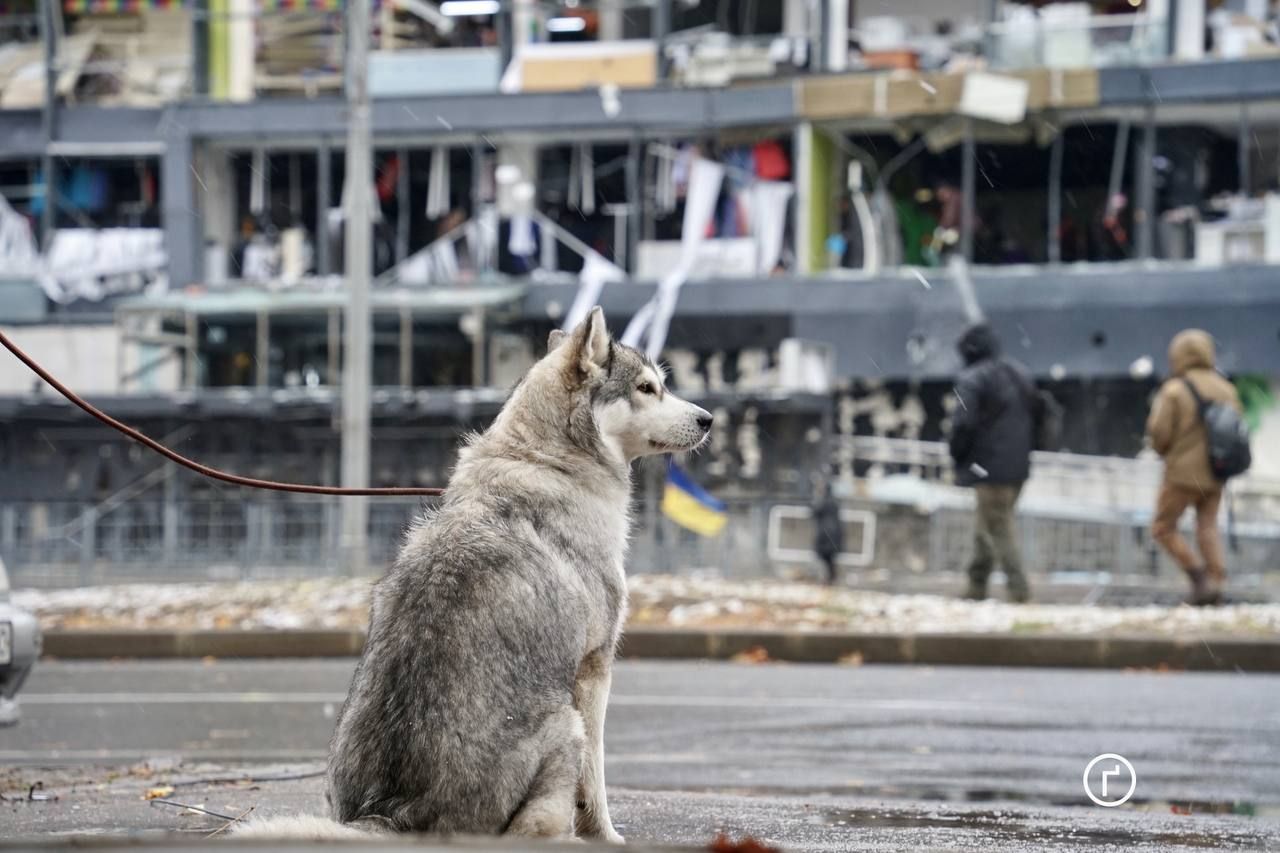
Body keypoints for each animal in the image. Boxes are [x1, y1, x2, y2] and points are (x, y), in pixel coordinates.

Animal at [240, 306, 711, 835]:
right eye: (648, 388)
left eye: (662, 385)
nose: (709, 419)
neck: (548, 462)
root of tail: (390, 812)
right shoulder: (595, 670)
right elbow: (597, 787)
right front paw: (606, 836)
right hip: (565, 722)